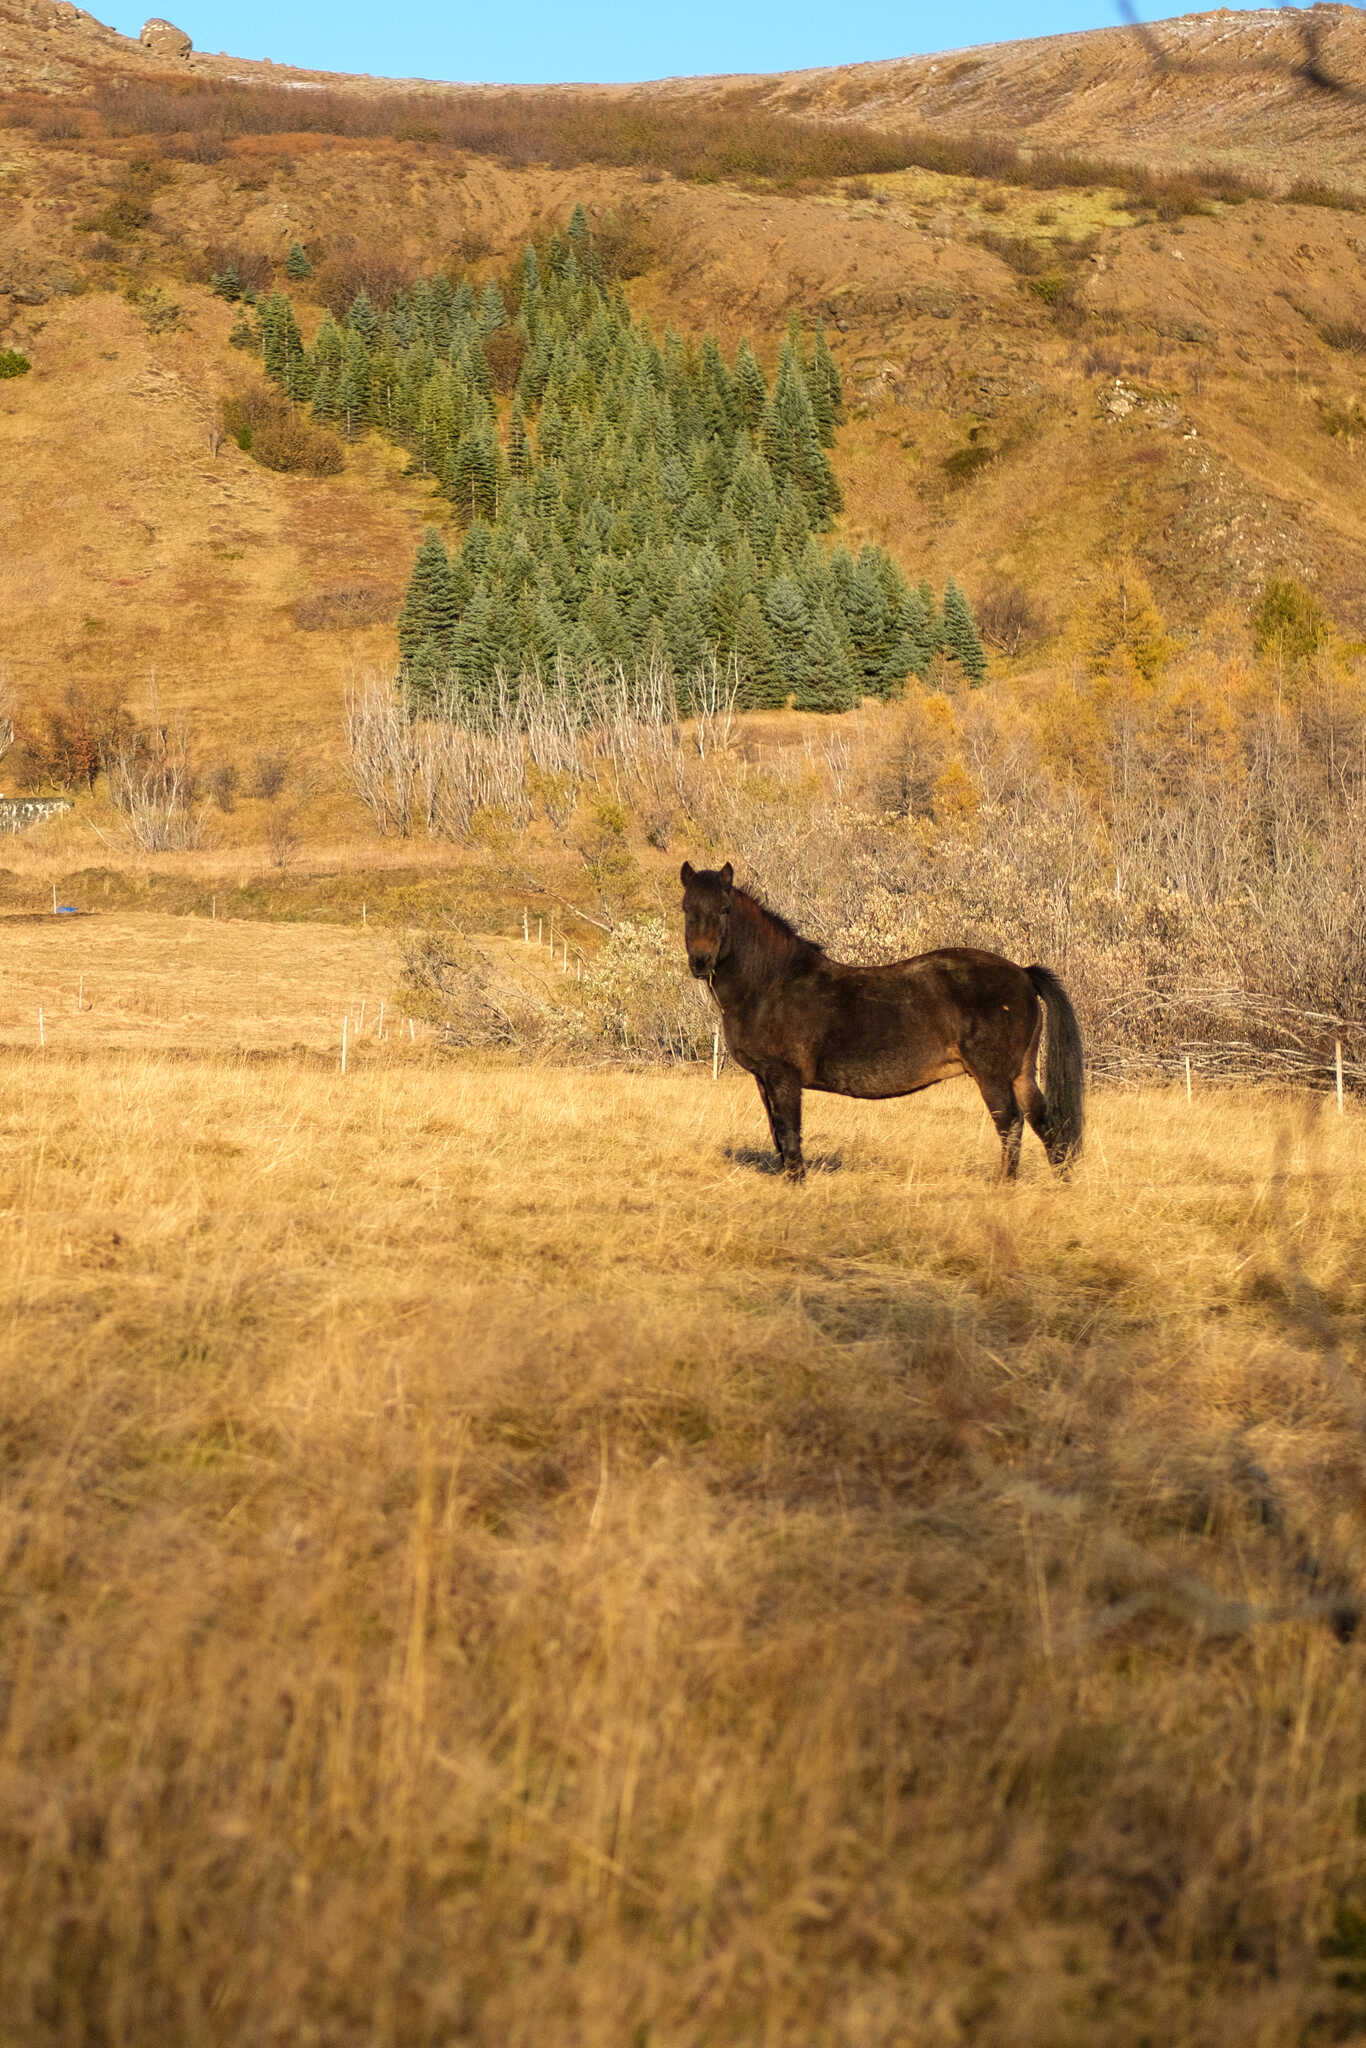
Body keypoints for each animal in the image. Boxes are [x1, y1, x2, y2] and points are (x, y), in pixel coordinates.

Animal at [684, 860, 1089, 1187]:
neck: (772, 984)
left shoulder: (783, 1077)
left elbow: (789, 1134)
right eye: (687, 908)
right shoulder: (763, 1079)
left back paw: (1004, 1187)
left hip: (992, 1076)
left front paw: (797, 1186)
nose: (700, 962)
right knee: (1045, 1123)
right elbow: (777, 1134)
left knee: (1011, 1124)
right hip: (1020, 1073)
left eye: (724, 909)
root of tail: (1022, 973)